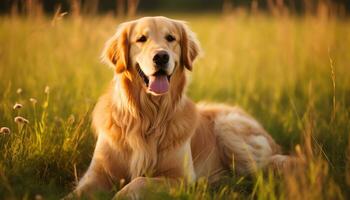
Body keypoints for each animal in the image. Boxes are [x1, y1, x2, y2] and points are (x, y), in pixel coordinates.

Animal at [73, 16, 292, 198]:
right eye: (141, 39)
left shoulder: (181, 179)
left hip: (229, 129)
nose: (161, 57)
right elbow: (77, 193)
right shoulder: (96, 175)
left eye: (171, 38)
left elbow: (137, 182)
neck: (148, 116)